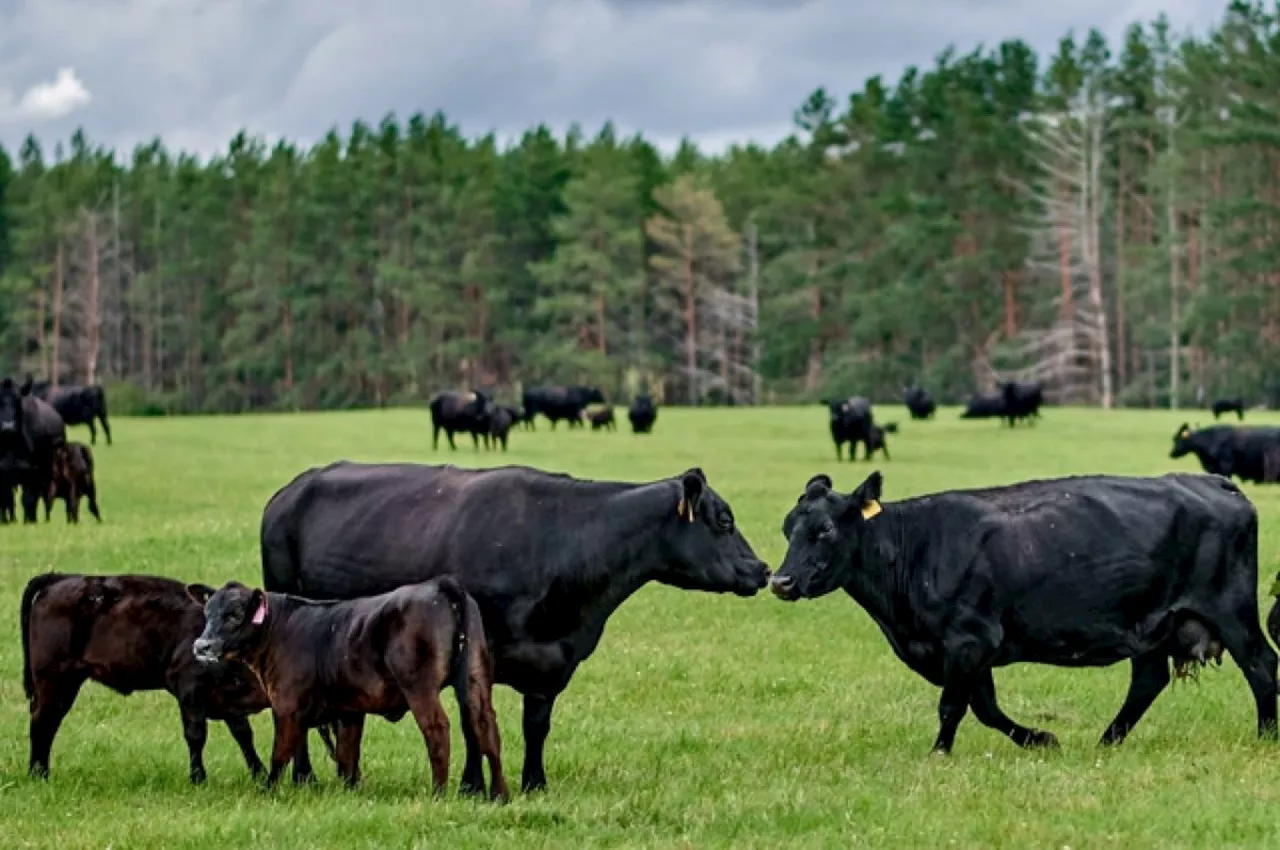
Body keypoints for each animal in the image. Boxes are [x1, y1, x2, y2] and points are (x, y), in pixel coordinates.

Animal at [0, 376, 65, 522]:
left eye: (17, 401)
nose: (7, 426)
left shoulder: (31, 471)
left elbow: (28, 499)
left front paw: (29, 521)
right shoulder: (3, 472)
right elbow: (6, 500)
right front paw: (8, 521)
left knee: (45, 497)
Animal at [21, 570, 270, 783]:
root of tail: (63, 578)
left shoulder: (229, 700)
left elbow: (244, 735)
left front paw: (260, 774)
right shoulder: (189, 690)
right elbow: (196, 736)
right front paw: (198, 779)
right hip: (53, 677)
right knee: (42, 721)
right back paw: (38, 775)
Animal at [192, 573, 506, 798]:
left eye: (234, 614)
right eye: (206, 613)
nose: (201, 645)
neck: (281, 628)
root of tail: (439, 583)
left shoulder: (288, 706)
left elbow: (280, 753)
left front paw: (268, 792)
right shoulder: (350, 710)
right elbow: (347, 756)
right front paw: (350, 793)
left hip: (420, 686)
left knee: (437, 730)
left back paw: (438, 793)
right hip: (476, 677)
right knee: (486, 727)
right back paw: (499, 795)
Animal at [254, 460, 762, 793]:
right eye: (724, 520)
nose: (760, 569)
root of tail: (289, 492)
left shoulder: (553, 663)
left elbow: (536, 726)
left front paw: (535, 783)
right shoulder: (478, 656)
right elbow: (471, 721)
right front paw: (472, 786)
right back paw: (303, 777)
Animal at [762, 471, 1274, 757]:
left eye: (826, 530)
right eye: (788, 528)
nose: (780, 582)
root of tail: (1211, 481)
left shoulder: (969, 640)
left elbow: (954, 705)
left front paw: (938, 754)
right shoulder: (972, 650)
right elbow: (985, 708)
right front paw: (1041, 740)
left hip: (1232, 611)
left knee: (1262, 666)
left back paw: (1266, 736)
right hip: (1150, 626)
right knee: (1147, 682)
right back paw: (1107, 742)